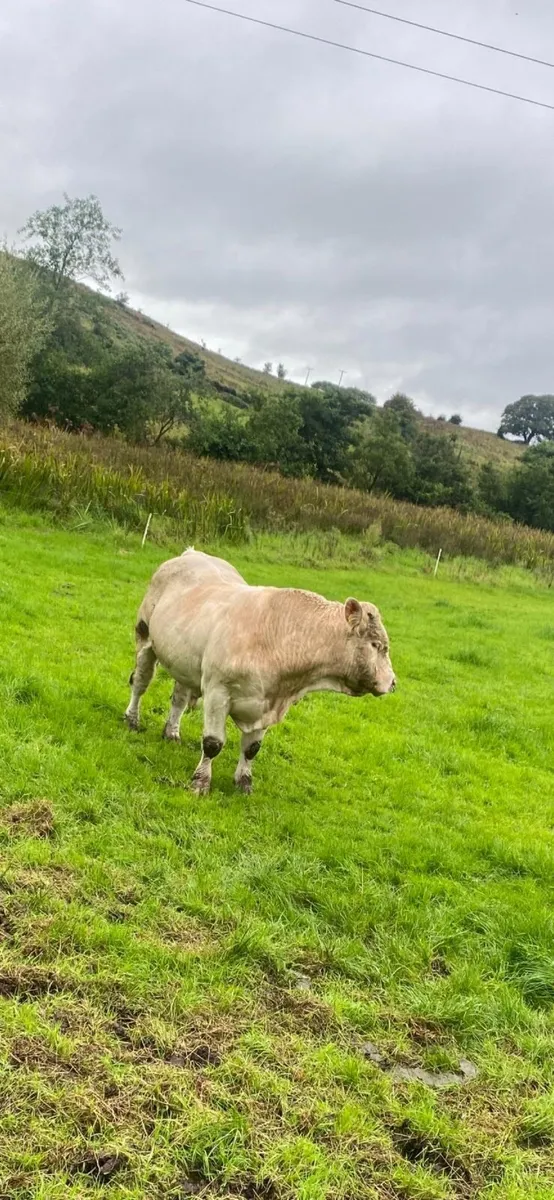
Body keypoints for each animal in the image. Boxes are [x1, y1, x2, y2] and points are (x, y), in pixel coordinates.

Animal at [124, 548, 396, 795]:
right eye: (376, 645)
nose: (393, 682)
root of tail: (192, 553)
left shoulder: (267, 704)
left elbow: (251, 749)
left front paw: (244, 783)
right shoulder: (217, 692)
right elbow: (212, 744)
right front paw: (200, 782)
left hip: (184, 663)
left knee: (179, 699)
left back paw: (171, 732)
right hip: (145, 639)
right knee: (140, 683)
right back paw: (132, 719)